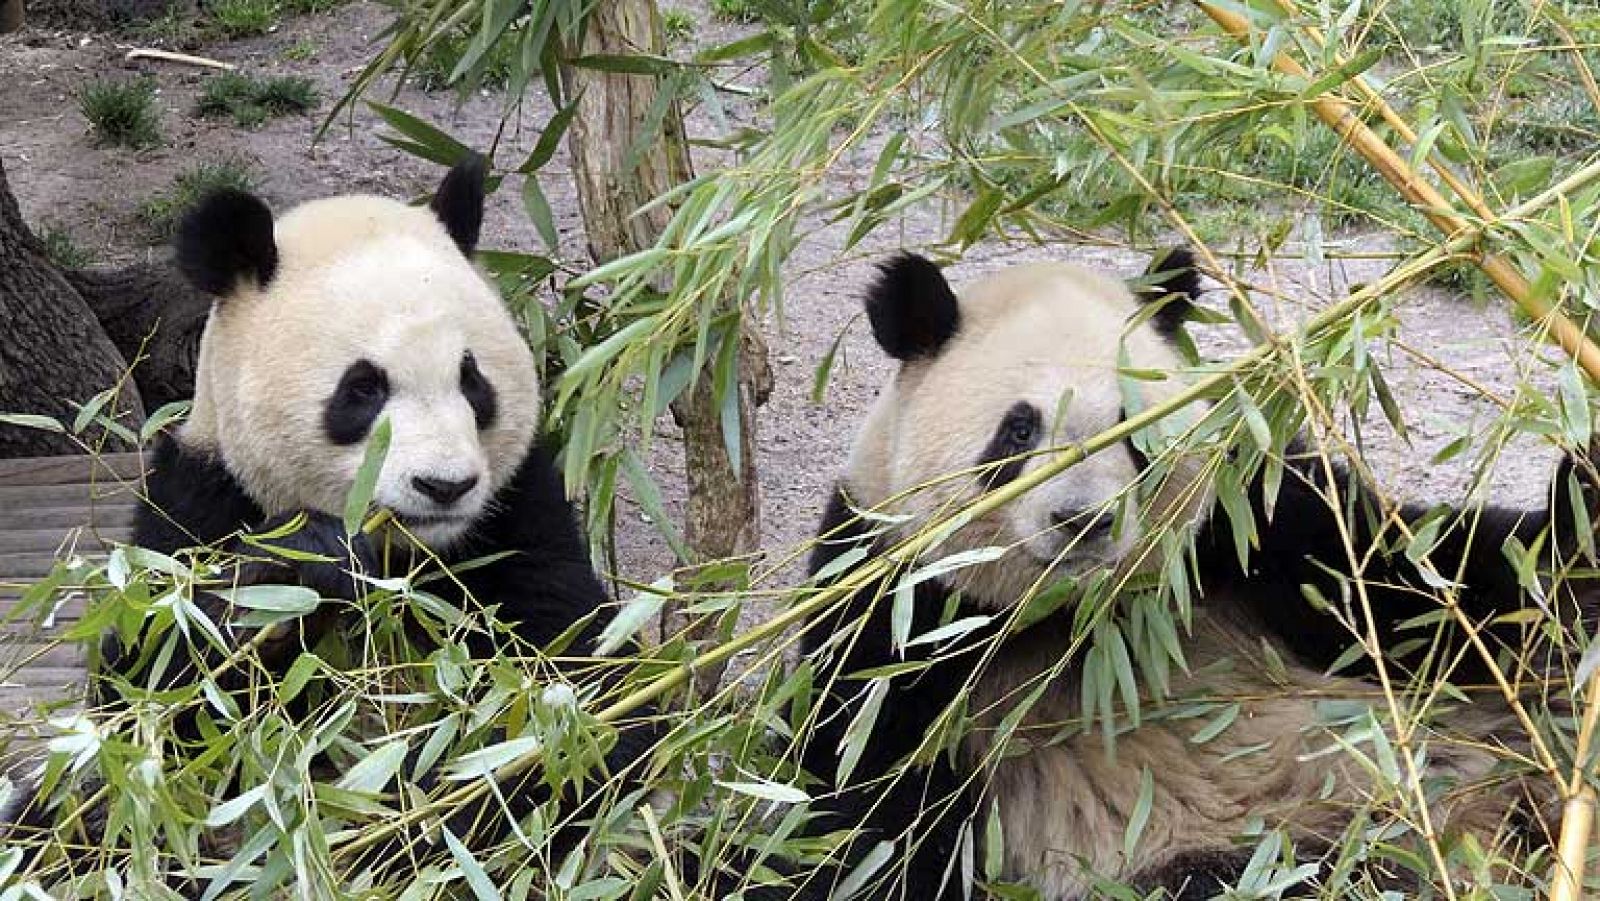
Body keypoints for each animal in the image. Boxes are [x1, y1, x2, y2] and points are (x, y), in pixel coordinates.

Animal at [8, 158, 657, 883]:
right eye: (363, 388)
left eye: (473, 381)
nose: (444, 486)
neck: (406, 557)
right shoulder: (204, 495)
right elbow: (157, 696)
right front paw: (308, 565)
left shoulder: (518, 510)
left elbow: (586, 697)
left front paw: (413, 824)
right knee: (73, 824)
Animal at [790, 250, 1578, 900]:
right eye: (1019, 430)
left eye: (1132, 428)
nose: (1084, 519)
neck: (1082, 615)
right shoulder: (893, 604)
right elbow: (870, 800)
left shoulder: (1250, 518)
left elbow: (1417, 596)